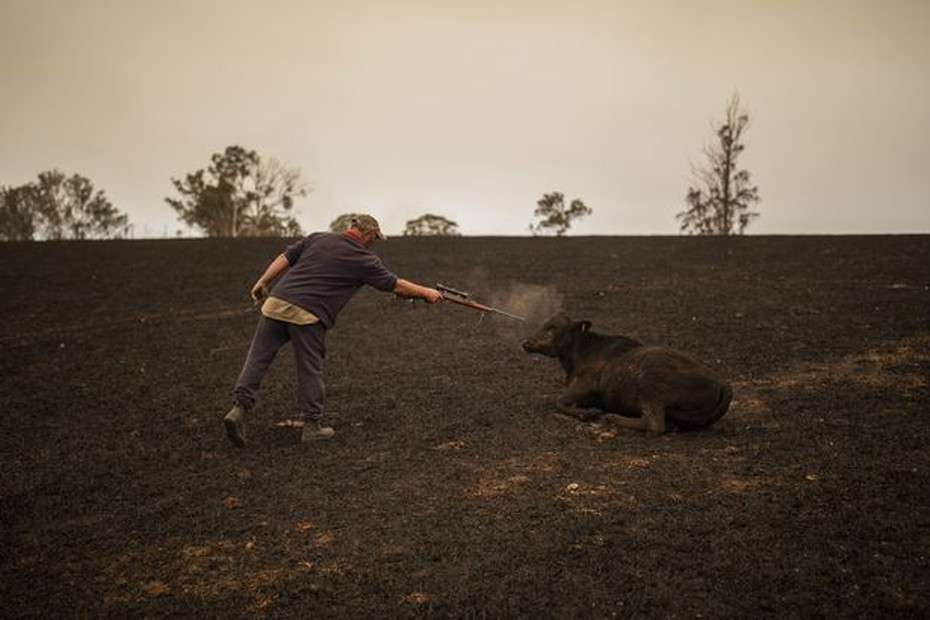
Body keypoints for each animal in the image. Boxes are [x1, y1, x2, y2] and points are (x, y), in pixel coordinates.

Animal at [520, 312, 728, 434]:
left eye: (554, 328)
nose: (527, 343)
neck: (578, 354)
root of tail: (722, 383)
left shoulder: (588, 384)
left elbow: (559, 401)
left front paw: (588, 413)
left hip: (650, 383)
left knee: (654, 424)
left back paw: (612, 418)